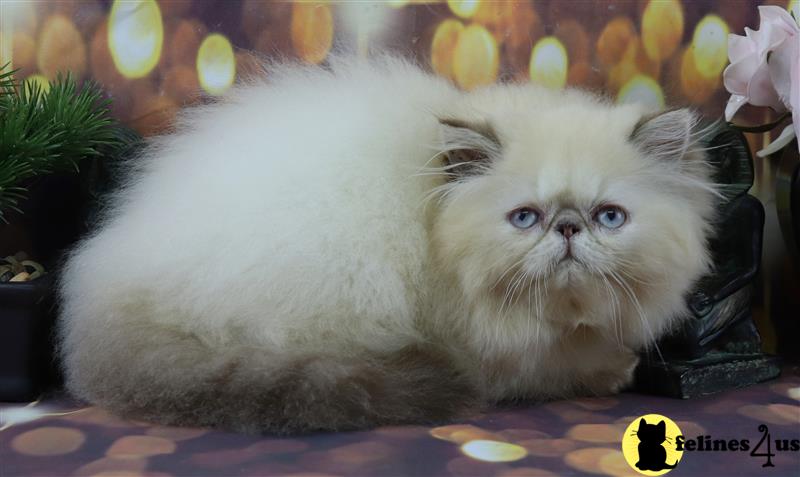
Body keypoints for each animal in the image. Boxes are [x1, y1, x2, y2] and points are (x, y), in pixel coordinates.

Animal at [59, 55, 716, 432]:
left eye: (609, 217)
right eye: (525, 218)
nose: (569, 228)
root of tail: (110, 285)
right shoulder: (486, 346)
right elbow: (553, 367)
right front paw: (615, 369)